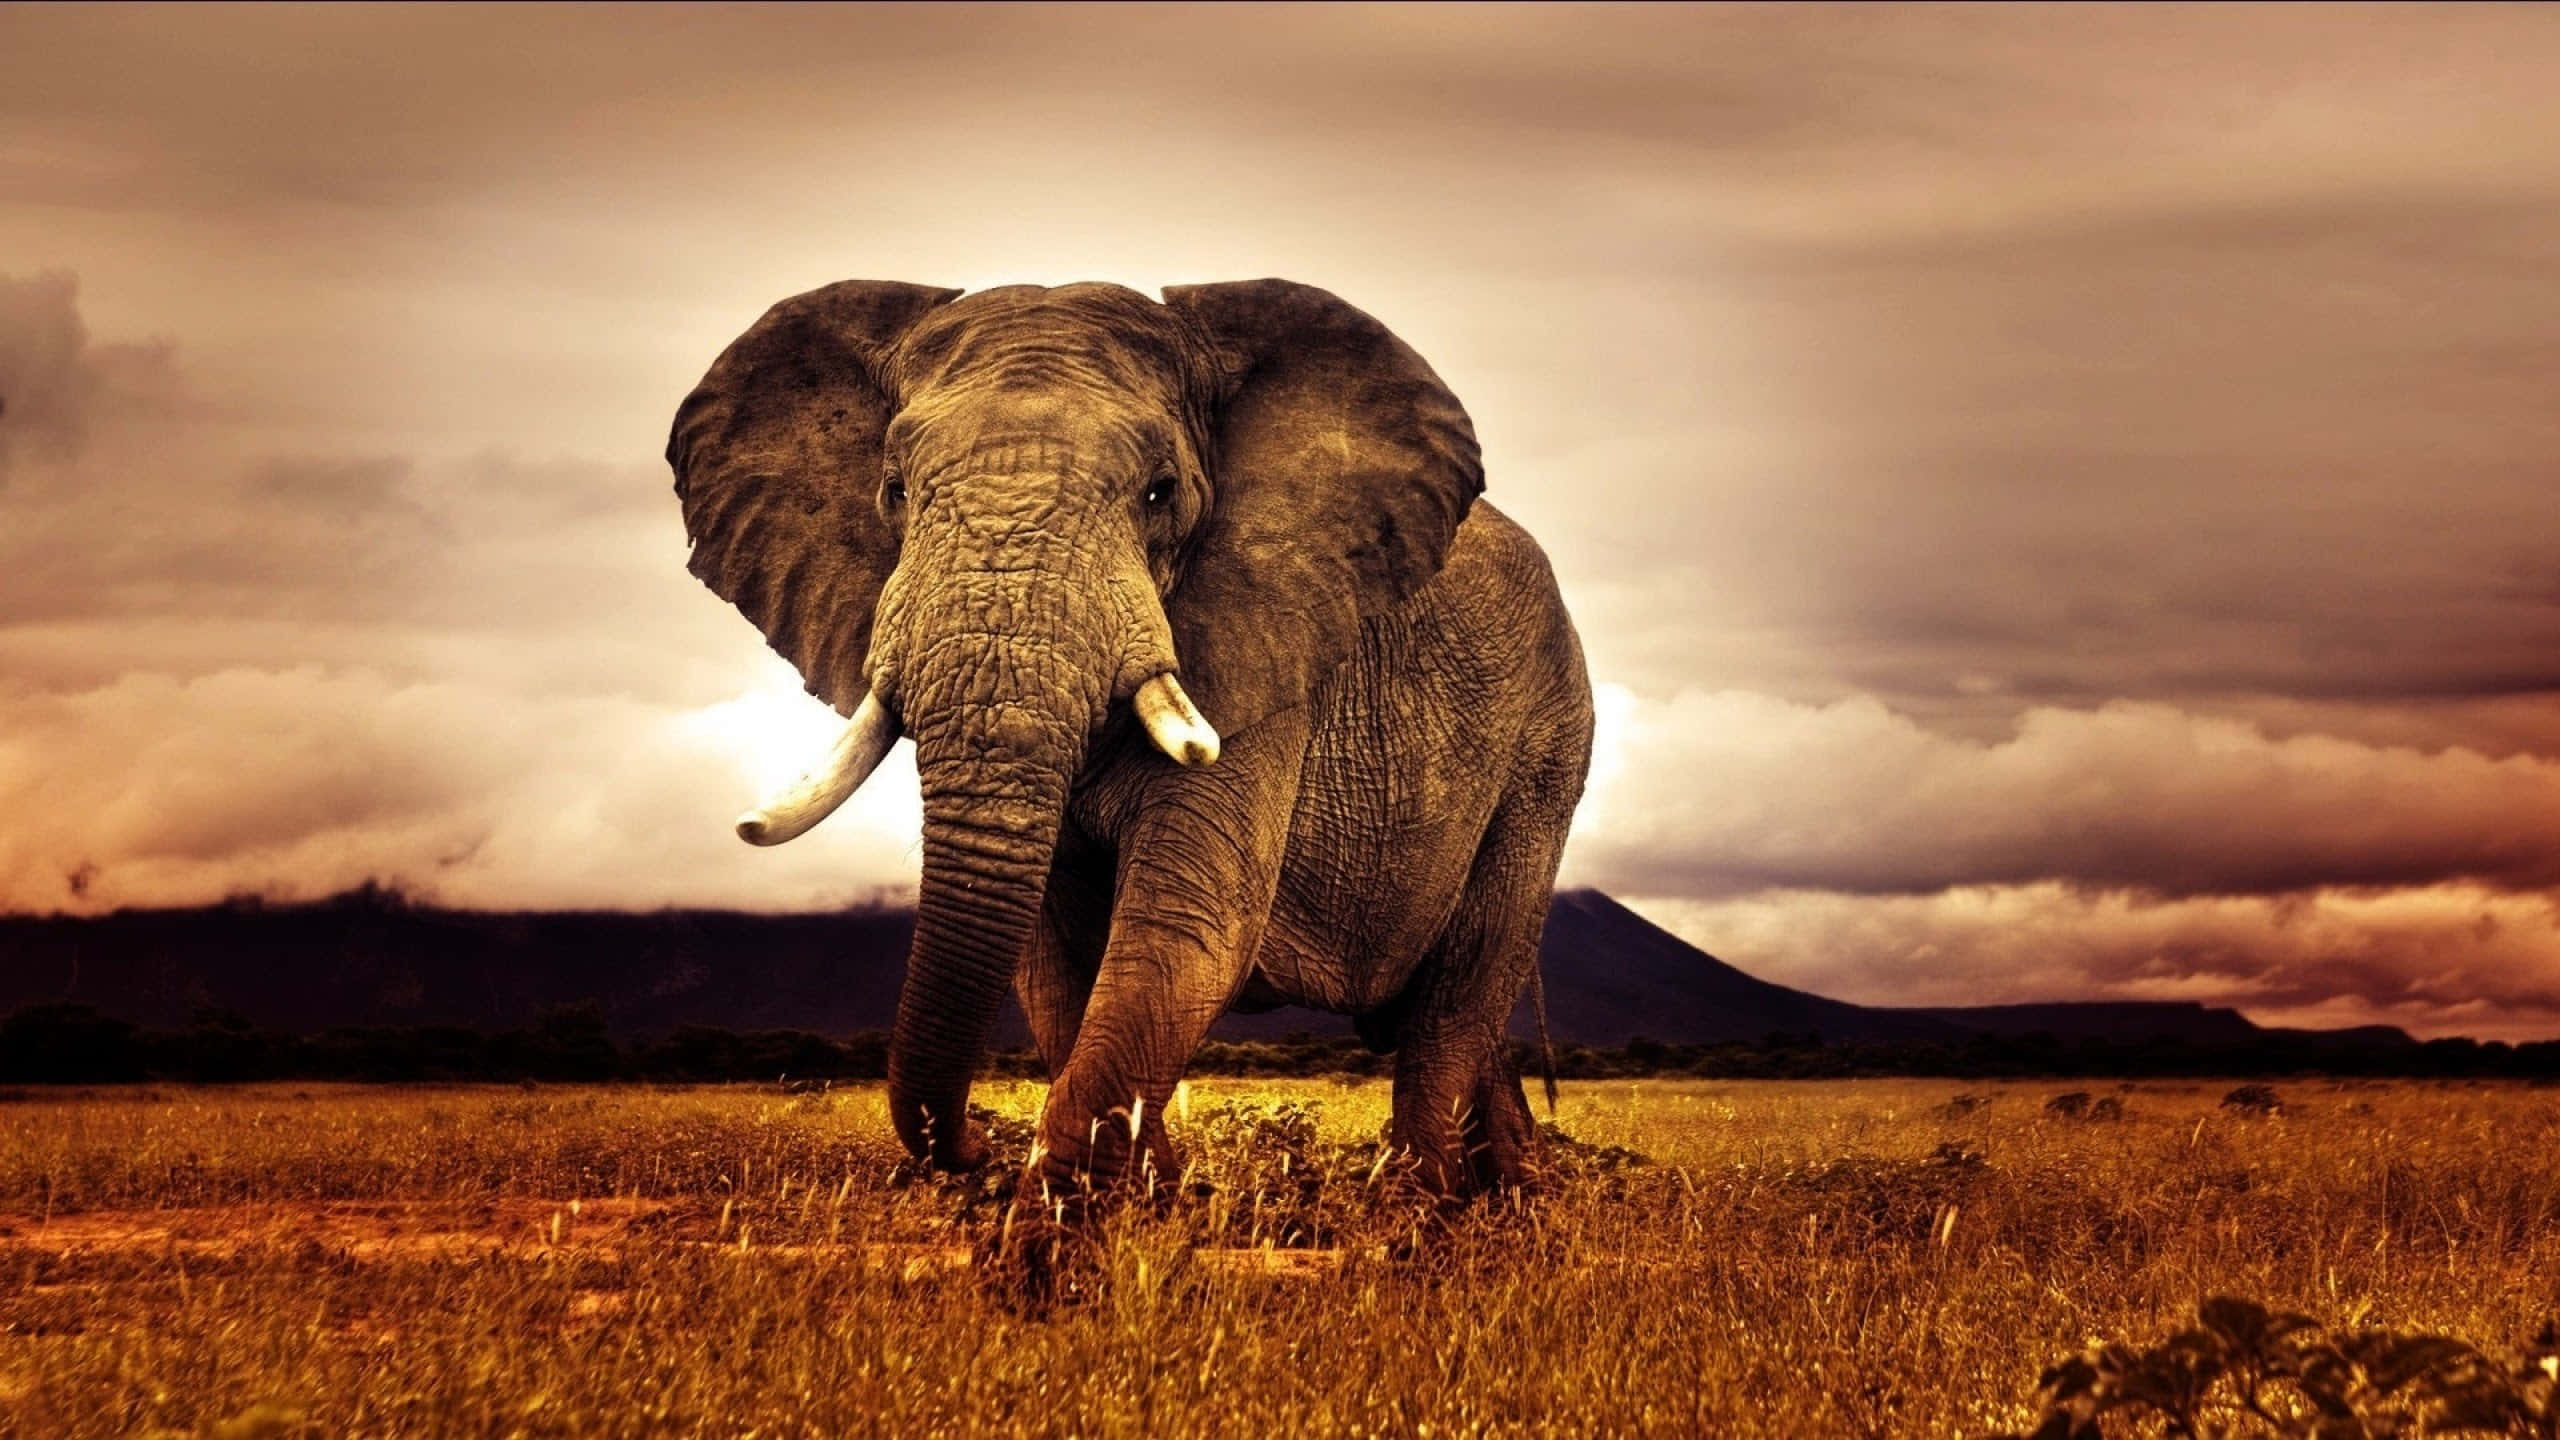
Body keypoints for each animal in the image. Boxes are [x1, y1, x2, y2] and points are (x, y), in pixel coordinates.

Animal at [666, 278, 1593, 1195]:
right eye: (893, 489)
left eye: (1160, 493)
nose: (974, 1148)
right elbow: (1053, 963)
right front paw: (1152, 1199)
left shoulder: (1263, 654)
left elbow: (1185, 929)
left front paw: (1072, 1211)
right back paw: (1510, 1194)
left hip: (1548, 750)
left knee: (1460, 994)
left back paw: (1421, 1207)